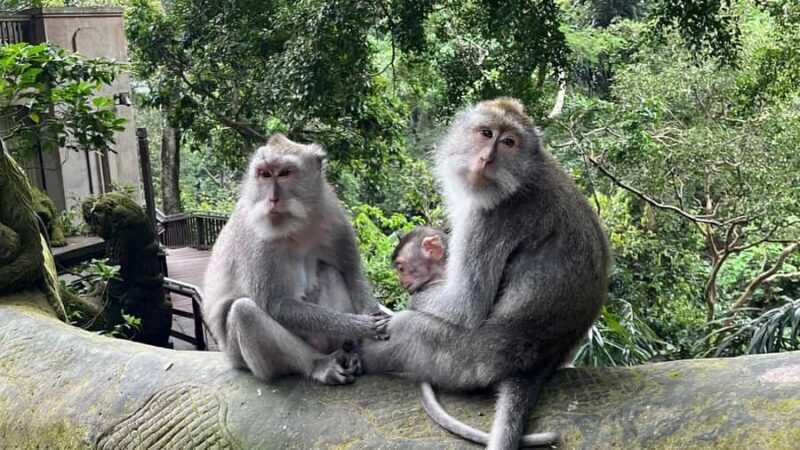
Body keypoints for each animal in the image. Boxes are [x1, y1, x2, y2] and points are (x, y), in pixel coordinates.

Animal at [203, 134, 389, 385]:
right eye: (264, 174)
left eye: (284, 173)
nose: (272, 199)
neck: (297, 224)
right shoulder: (258, 239)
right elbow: (276, 303)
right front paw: (363, 326)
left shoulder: (334, 217)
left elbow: (351, 272)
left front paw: (372, 316)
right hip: (241, 358)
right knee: (244, 311)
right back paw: (320, 365)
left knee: (331, 272)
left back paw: (348, 351)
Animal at [359, 98, 610, 449]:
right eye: (486, 133)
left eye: (508, 143)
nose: (486, 159)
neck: (522, 176)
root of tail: (542, 362)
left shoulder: (489, 219)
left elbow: (463, 305)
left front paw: (406, 304)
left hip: (468, 362)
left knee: (409, 331)